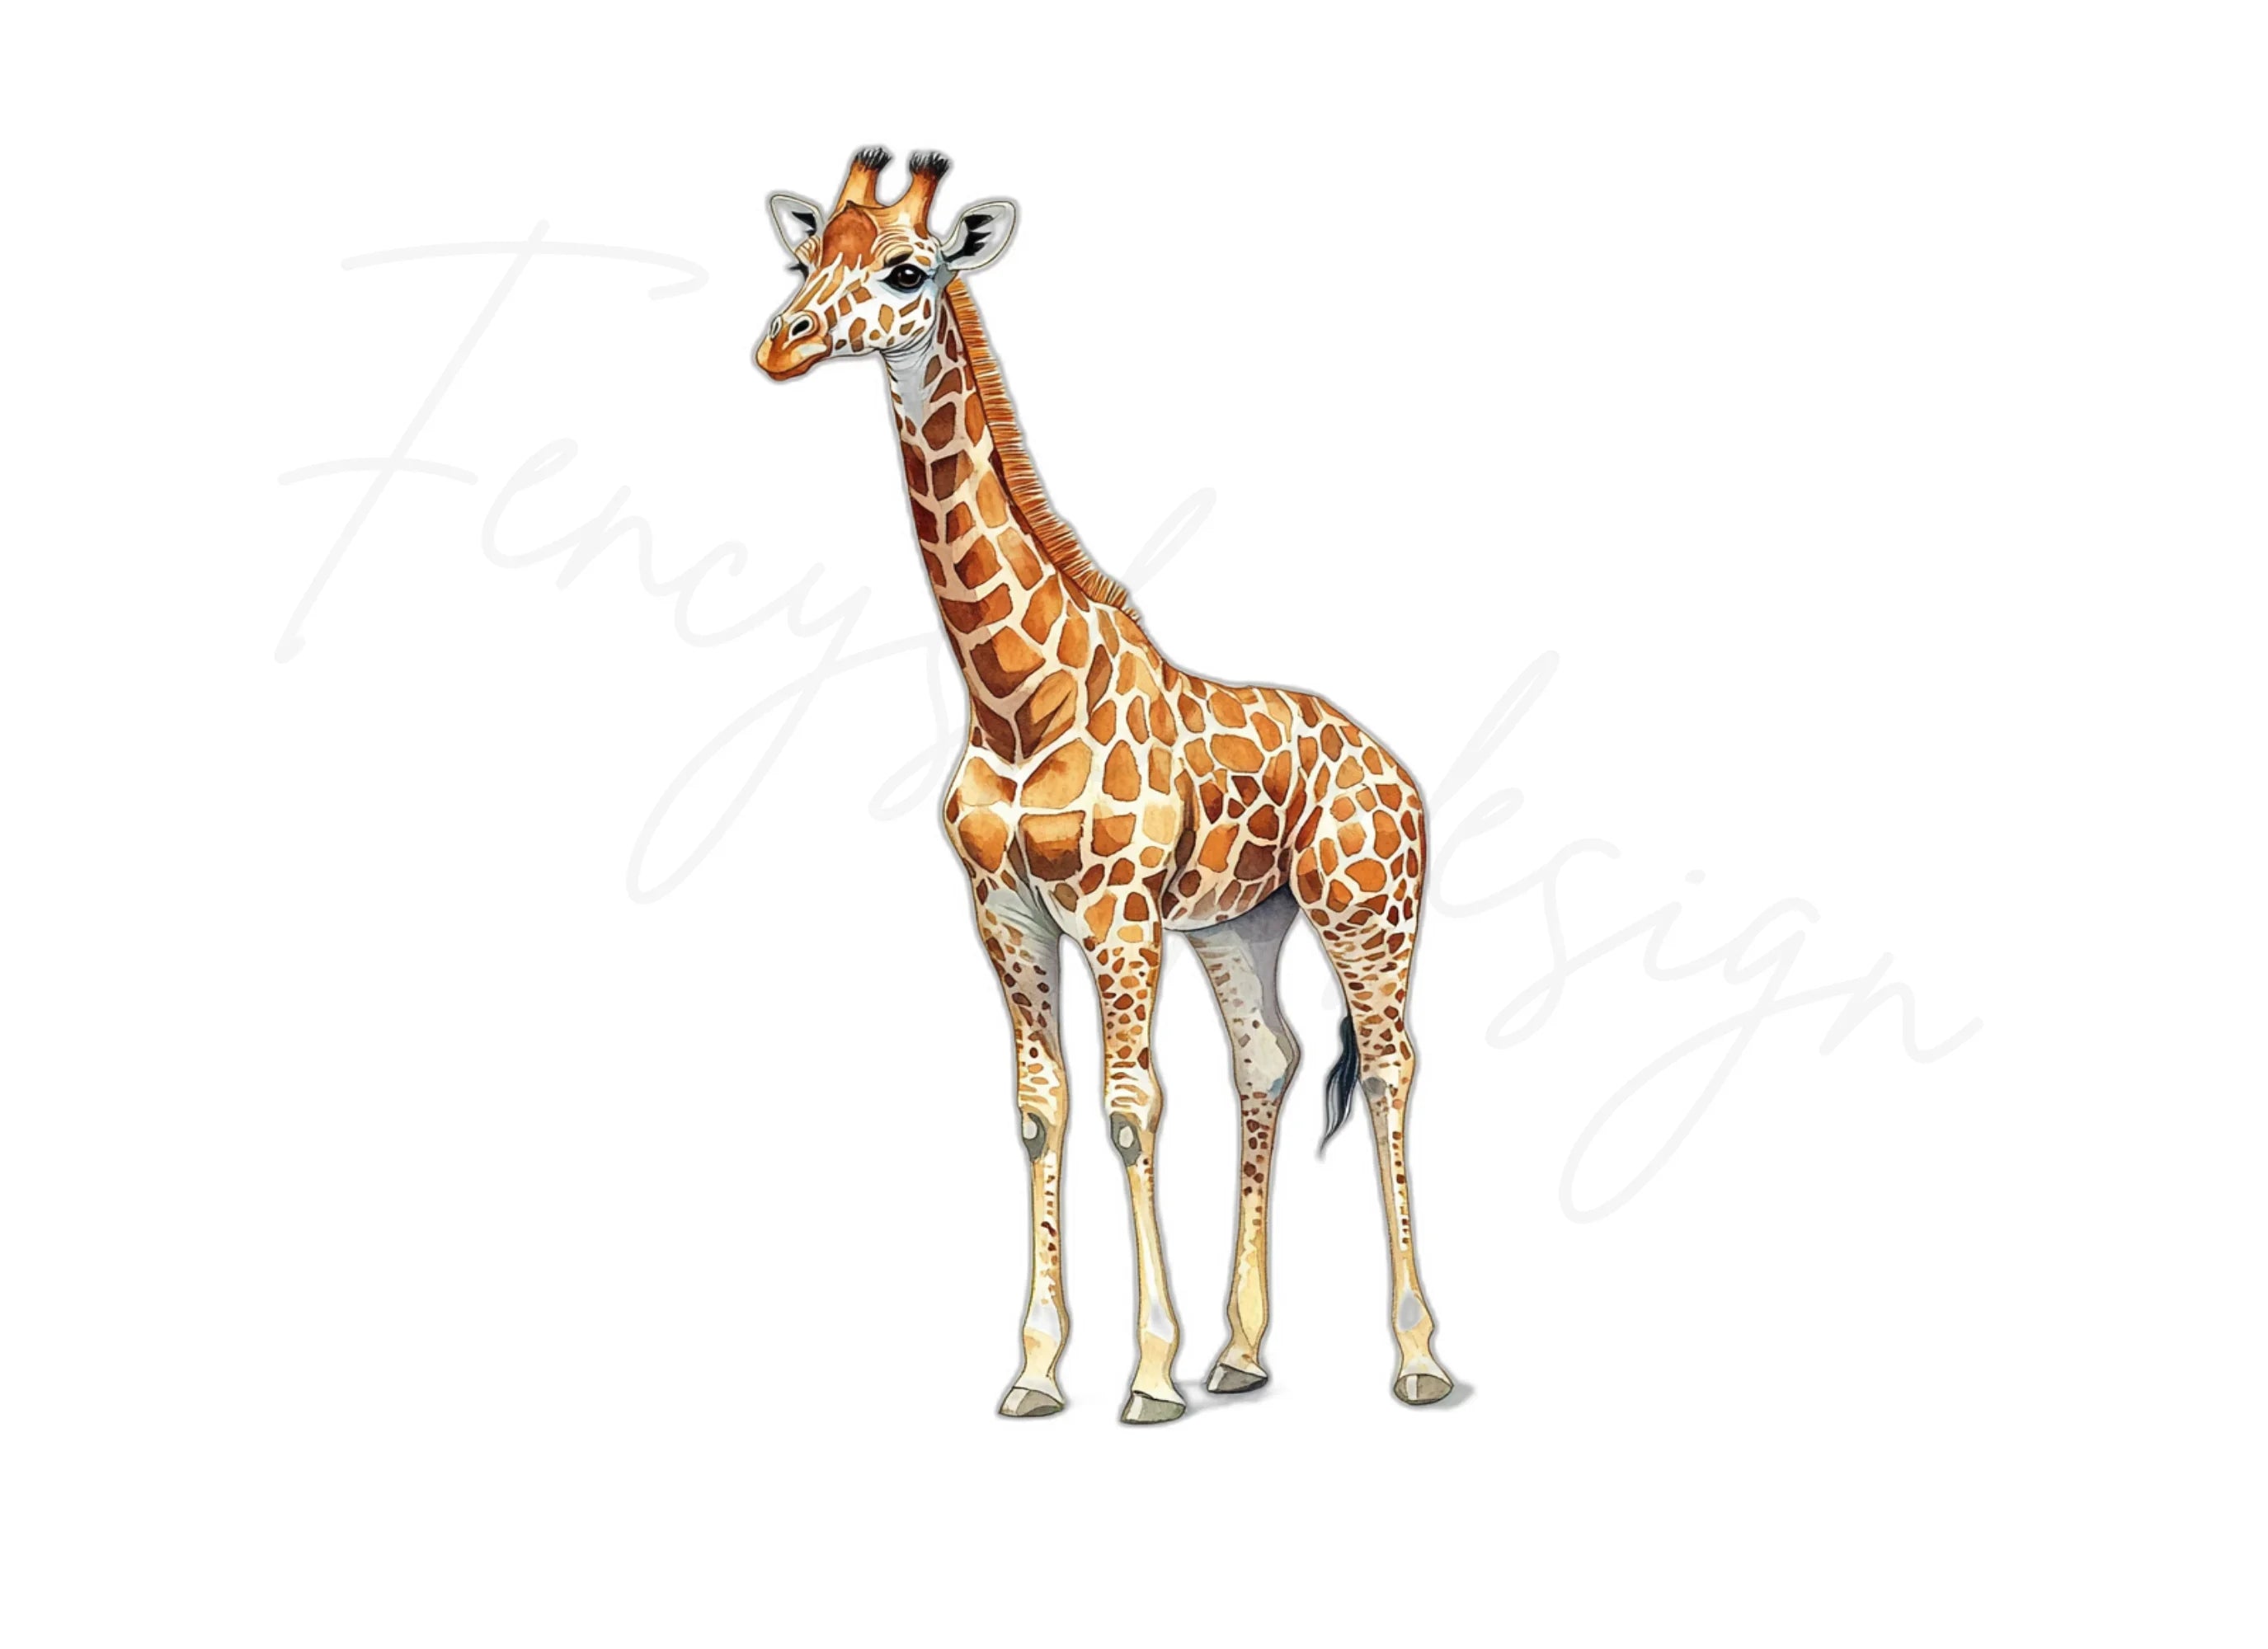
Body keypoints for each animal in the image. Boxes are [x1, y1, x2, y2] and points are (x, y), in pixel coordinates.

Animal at [753, 148, 1453, 1422]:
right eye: (803, 257)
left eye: (907, 268)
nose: (780, 344)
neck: (1012, 694)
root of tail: (1396, 769)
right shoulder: (1007, 914)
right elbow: (1043, 1110)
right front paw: (1037, 1370)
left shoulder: (1119, 918)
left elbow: (1133, 1111)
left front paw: (1148, 1373)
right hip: (1241, 922)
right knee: (1268, 1062)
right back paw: (1243, 1352)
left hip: (1367, 909)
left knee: (1388, 1068)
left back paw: (1418, 1357)